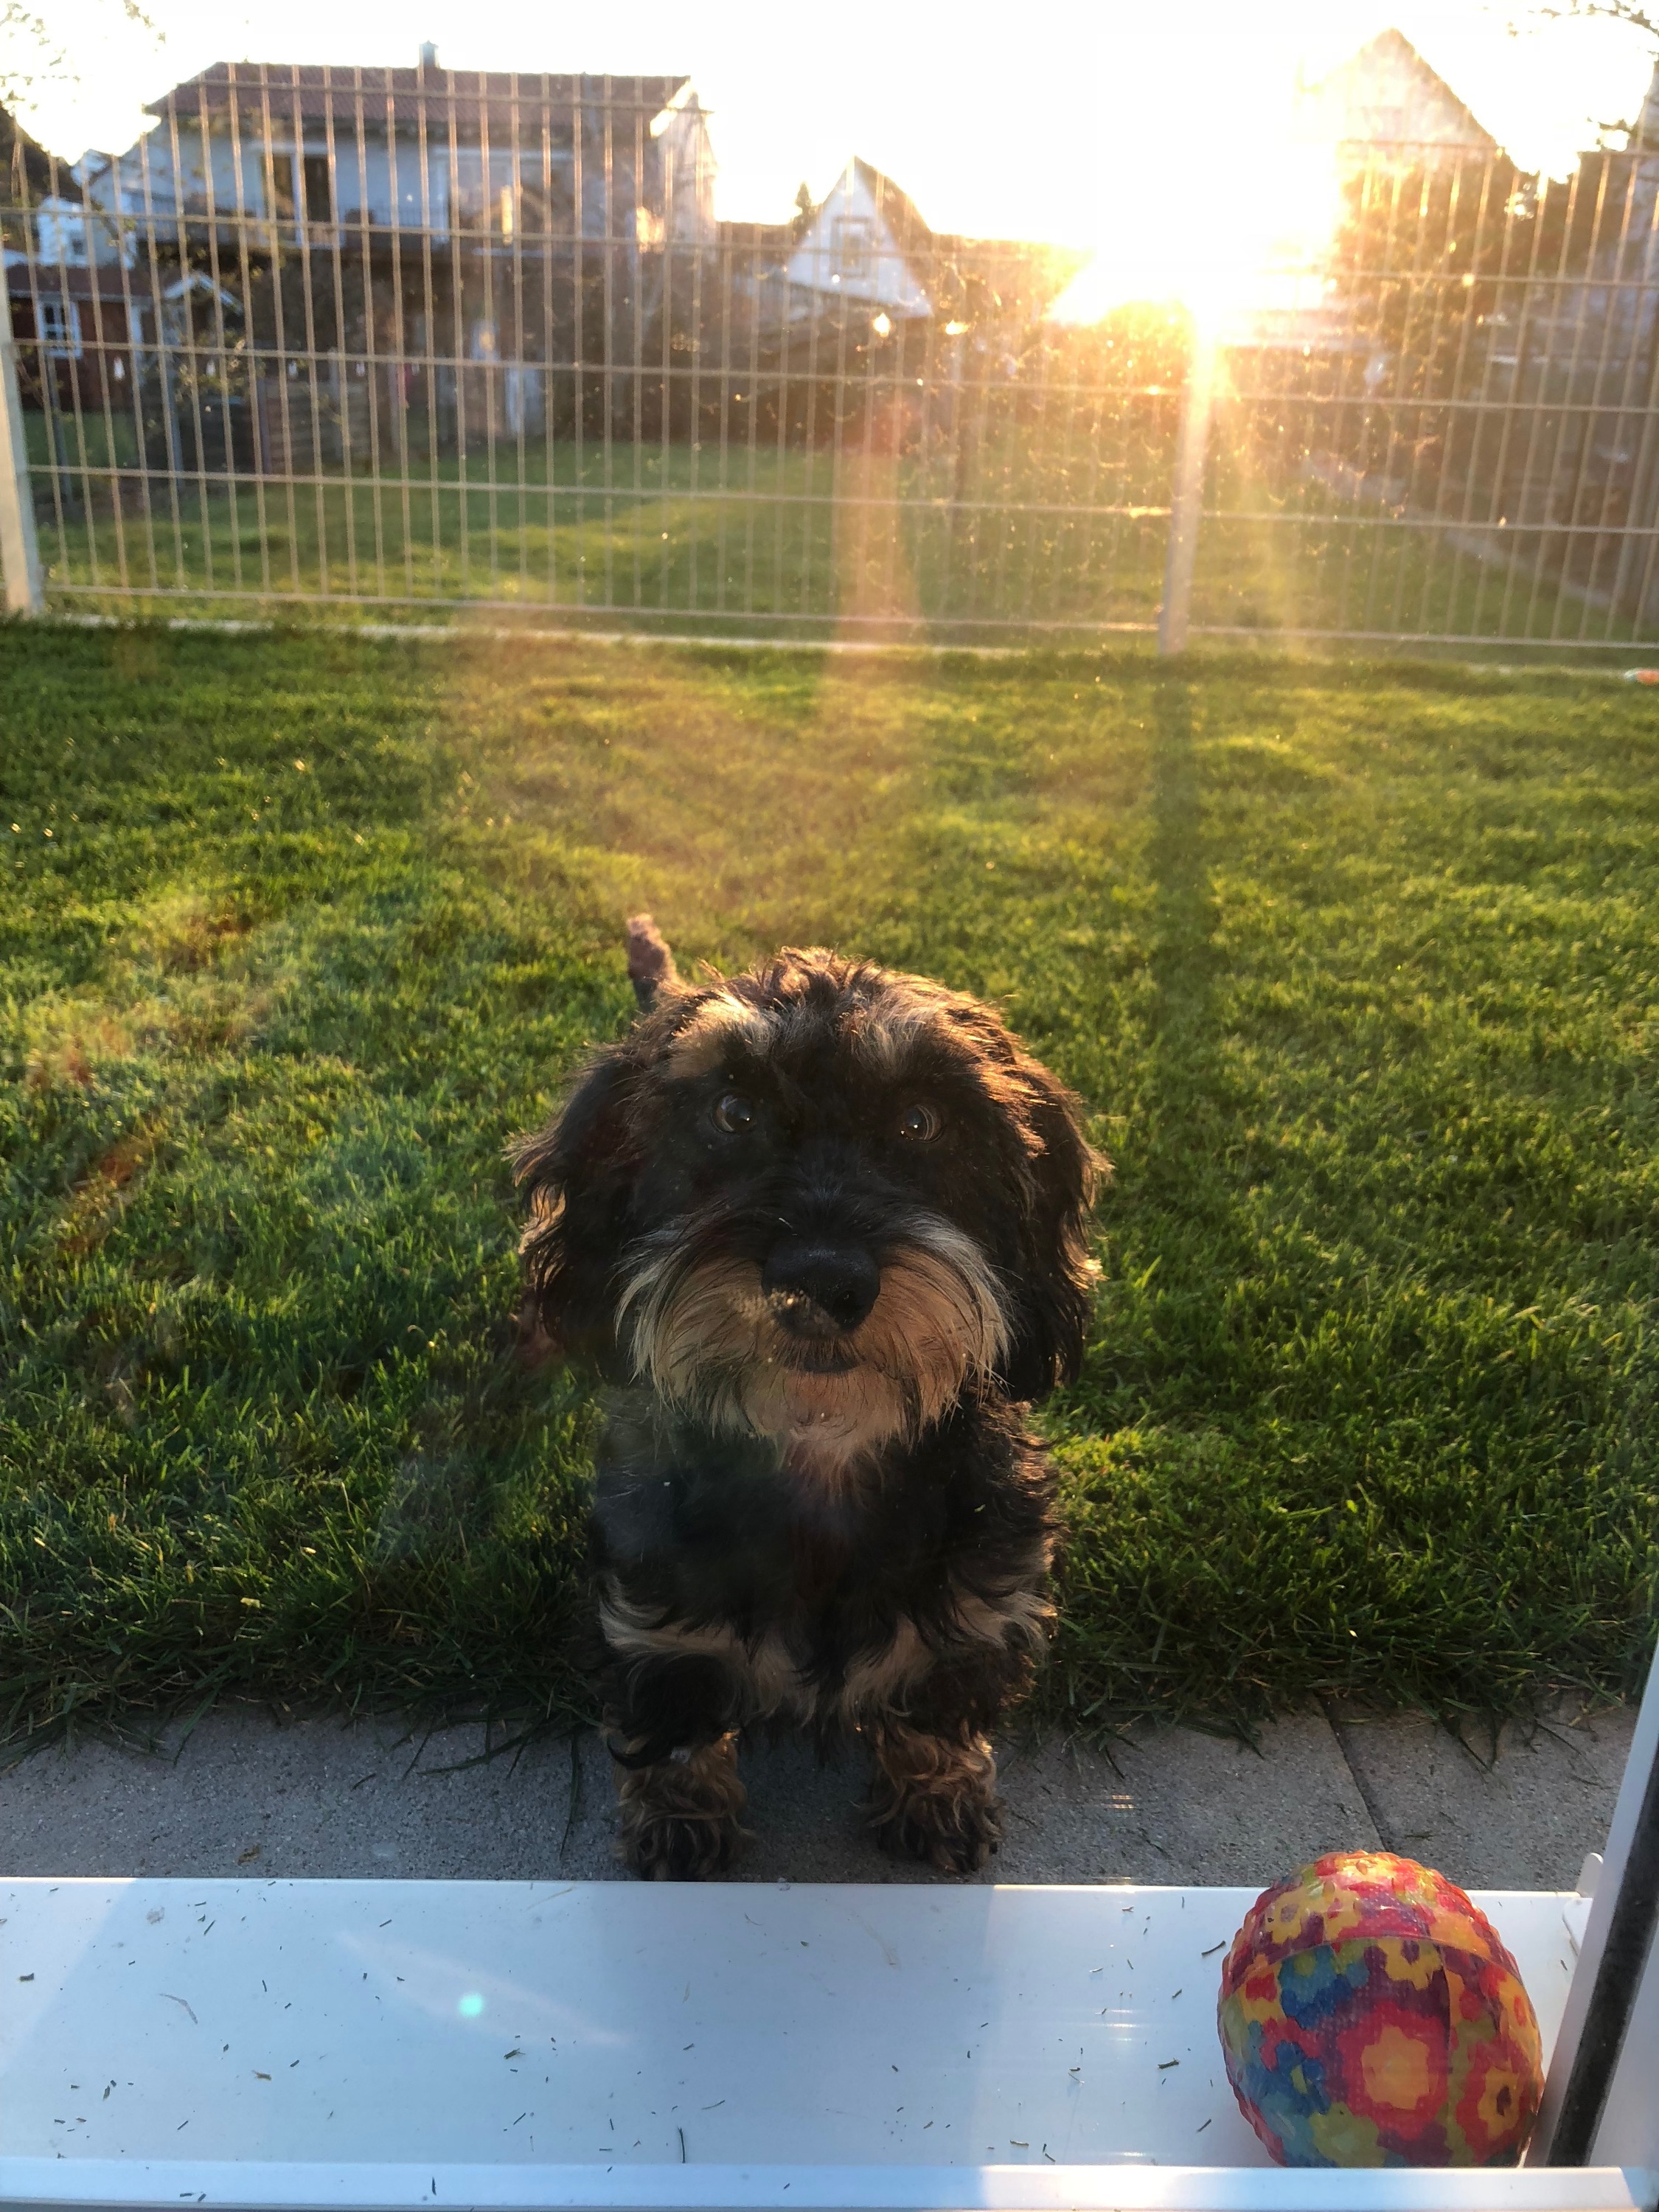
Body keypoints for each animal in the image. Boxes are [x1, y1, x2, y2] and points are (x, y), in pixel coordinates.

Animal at [514, 916, 1099, 1879]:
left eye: (921, 1120)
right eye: (732, 1113)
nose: (819, 1283)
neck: (821, 1449)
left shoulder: (981, 1603)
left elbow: (940, 1707)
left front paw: (937, 1794)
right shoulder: (652, 1617)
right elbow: (672, 1723)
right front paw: (680, 1818)